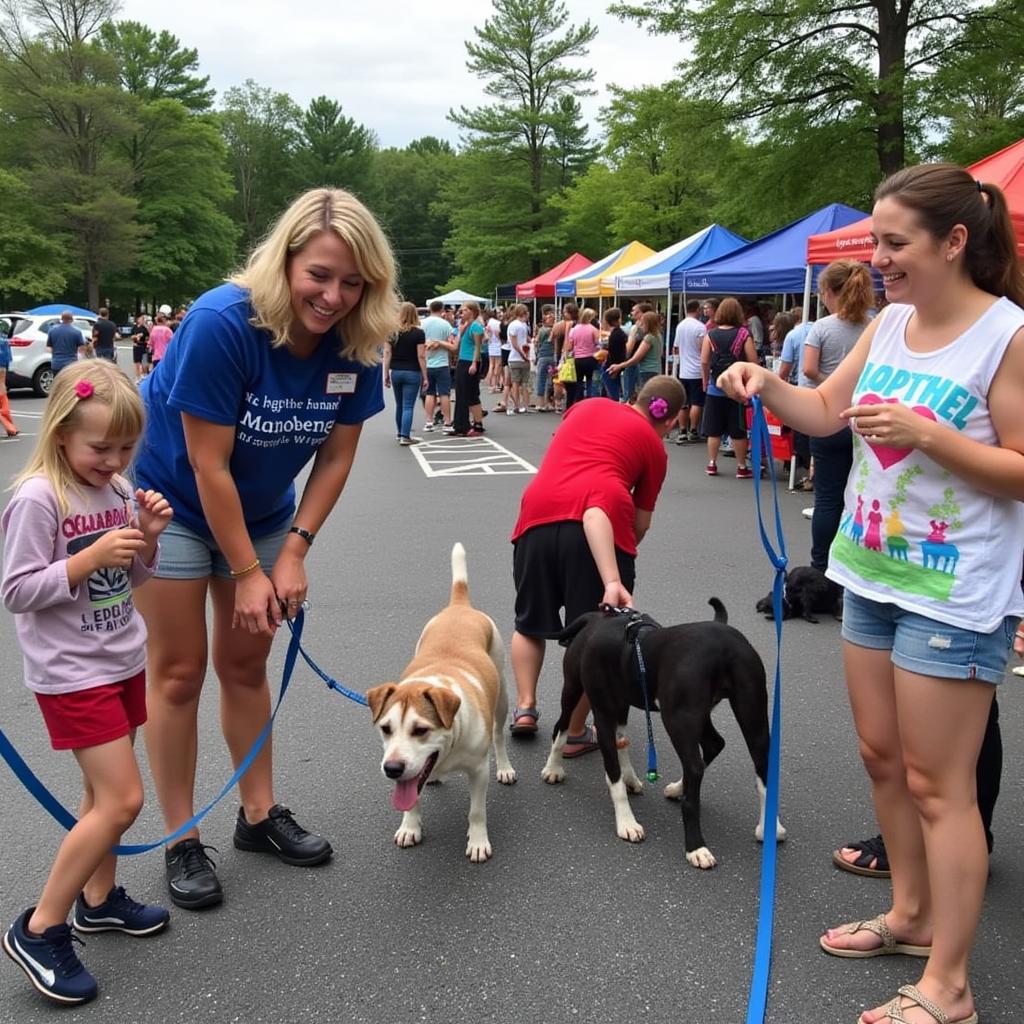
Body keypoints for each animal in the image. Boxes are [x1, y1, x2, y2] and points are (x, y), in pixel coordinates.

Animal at [366, 540, 516, 860]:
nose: (392, 768)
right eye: (386, 729)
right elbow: (412, 797)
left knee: (499, 736)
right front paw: (410, 826)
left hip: (502, 697)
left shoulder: (479, 771)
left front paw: (478, 841)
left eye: (421, 730)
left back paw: (506, 767)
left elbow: (477, 811)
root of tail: (459, 606)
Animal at [544, 598, 782, 872]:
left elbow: (613, 772)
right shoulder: (610, 713)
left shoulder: (605, 716)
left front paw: (626, 821)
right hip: (741, 716)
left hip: (679, 718)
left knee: (698, 763)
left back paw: (696, 844)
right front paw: (626, 813)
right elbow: (616, 764)